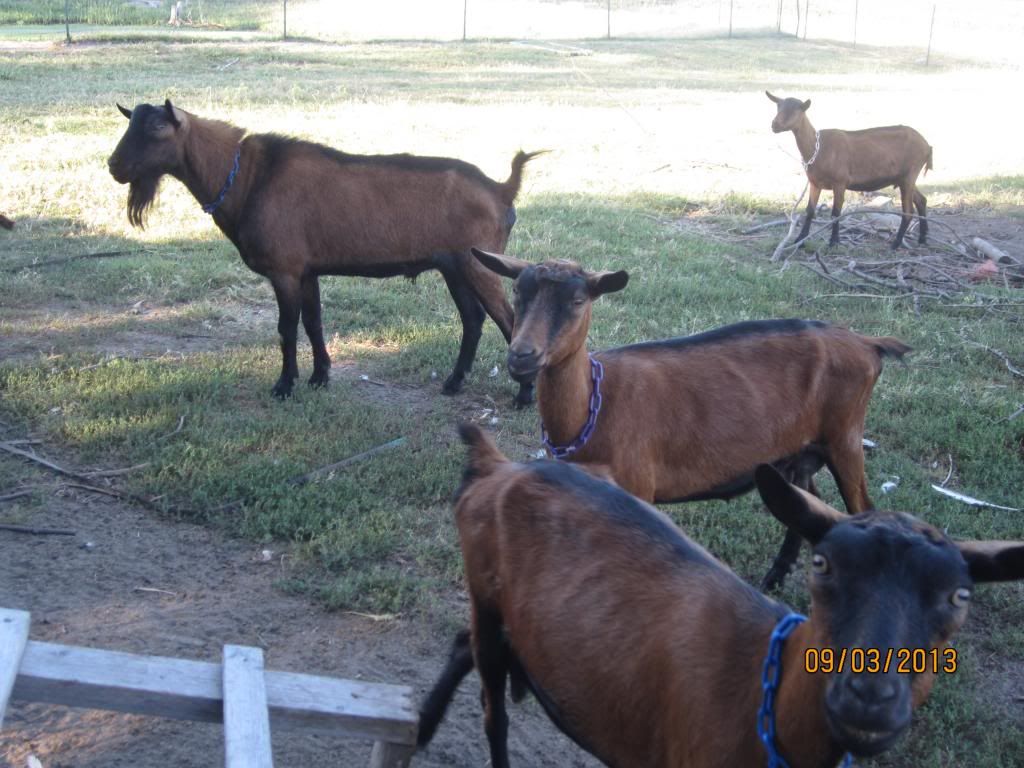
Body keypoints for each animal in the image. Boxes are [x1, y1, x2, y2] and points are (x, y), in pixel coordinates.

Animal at [107, 100, 541, 404]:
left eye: (158, 127)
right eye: (129, 123)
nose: (114, 166)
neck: (249, 177)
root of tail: (502, 189)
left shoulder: (284, 270)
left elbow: (286, 328)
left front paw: (284, 385)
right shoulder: (307, 270)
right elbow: (314, 322)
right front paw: (320, 377)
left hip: (480, 264)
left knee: (508, 320)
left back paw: (523, 395)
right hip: (455, 265)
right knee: (473, 319)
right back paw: (454, 383)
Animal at [419, 424, 1024, 768]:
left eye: (960, 596)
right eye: (821, 565)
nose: (869, 697)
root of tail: (499, 467)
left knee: (463, 643)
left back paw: (423, 726)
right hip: (486, 594)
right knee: (492, 712)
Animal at [472, 250, 909, 589]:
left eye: (578, 300)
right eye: (517, 290)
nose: (522, 356)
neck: (594, 409)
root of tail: (868, 345)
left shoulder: (637, 488)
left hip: (845, 437)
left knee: (861, 506)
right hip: (795, 452)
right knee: (806, 500)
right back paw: (775, 579)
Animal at [766, 91, 933, 250]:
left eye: (796, 110)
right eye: (778, 107)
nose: (774, 125)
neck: (818, 148)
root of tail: (927, 146)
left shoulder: (840, 182)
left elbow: (836, 213)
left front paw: (833, 242)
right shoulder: (815, 183)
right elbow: (809, 211)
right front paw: (799, 241)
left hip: (910, 174)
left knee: (908, 211)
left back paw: (896, 244)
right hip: (904, 178)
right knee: (921, 200)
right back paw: (922, 238)